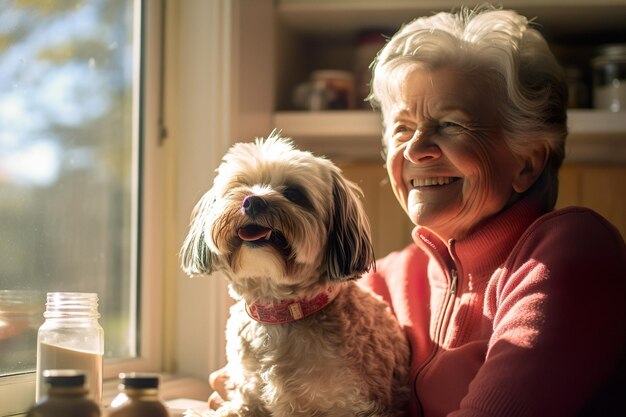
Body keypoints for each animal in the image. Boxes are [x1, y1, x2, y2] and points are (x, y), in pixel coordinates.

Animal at [179, 132, 410, 414]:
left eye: (294, 193)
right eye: (241, 186)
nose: (253, 201)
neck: (280, 313)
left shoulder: (353, 404)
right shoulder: (248, 395)